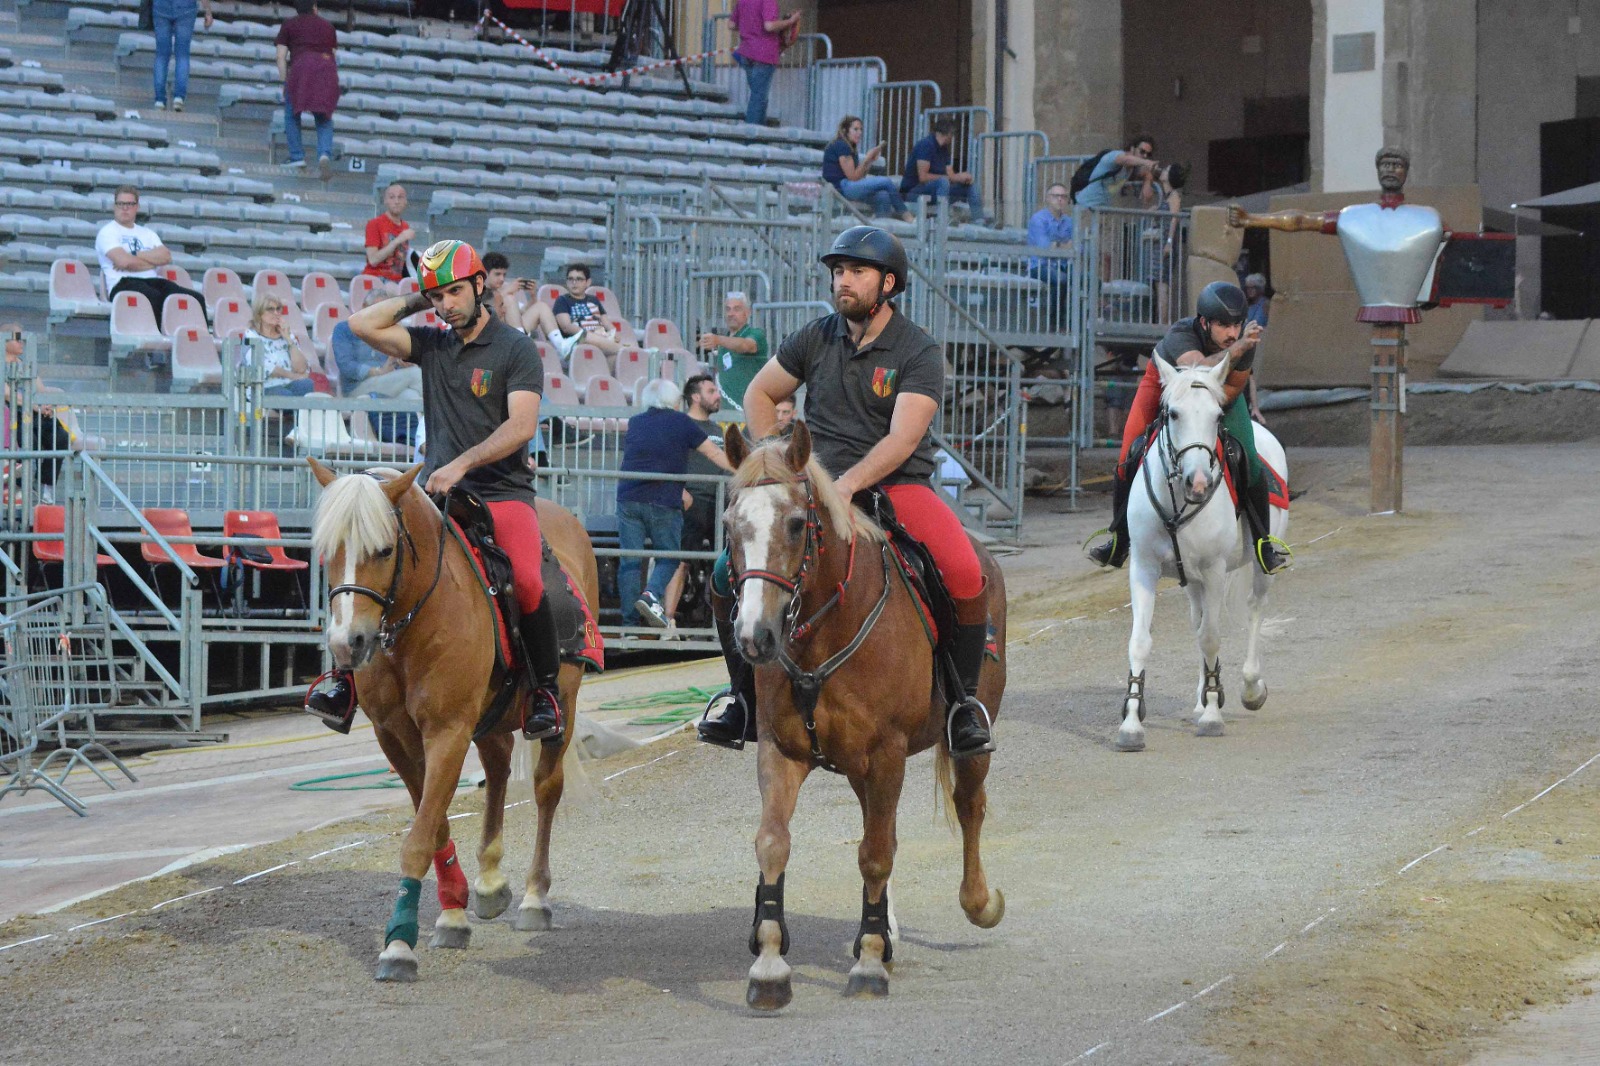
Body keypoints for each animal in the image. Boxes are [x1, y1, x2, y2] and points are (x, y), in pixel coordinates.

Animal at [305, 457, 601, 979]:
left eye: (384, 549)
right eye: (328, 551)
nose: (347, 644)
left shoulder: (448, 731)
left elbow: (420, 836)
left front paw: (399, 944)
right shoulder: (395, 736)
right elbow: (435, 822)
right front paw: (452, 912)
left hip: (561, 707)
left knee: (546, 790)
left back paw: (533, 898)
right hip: (491, 720)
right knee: (499, 772)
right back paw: (490, 882)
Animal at [723, 419, 1004, 1011]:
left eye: (796, 523)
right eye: (731, 526)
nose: (755, 638)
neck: (824, 630)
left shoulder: (888, 752)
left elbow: (876, 854)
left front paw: (870, 963)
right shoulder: (781, 750)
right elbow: (773, 841)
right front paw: (769, 966)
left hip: (965, 736)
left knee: (968, 805)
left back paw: (977, 903)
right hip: (857, 765)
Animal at [1120, 356, 1292, 745]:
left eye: (1216, 417)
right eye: (1173, 414)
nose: (1197, 483)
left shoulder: (1214, 569)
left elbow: (1212, 638)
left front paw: (1213, 716)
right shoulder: (1144, 568)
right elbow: (1140, 641)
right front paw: (1131, 722)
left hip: (1257, 568)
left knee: (1253, 609)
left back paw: (1249, 689)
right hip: (1194, 581)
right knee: (1199, 624)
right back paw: (1202, 699)